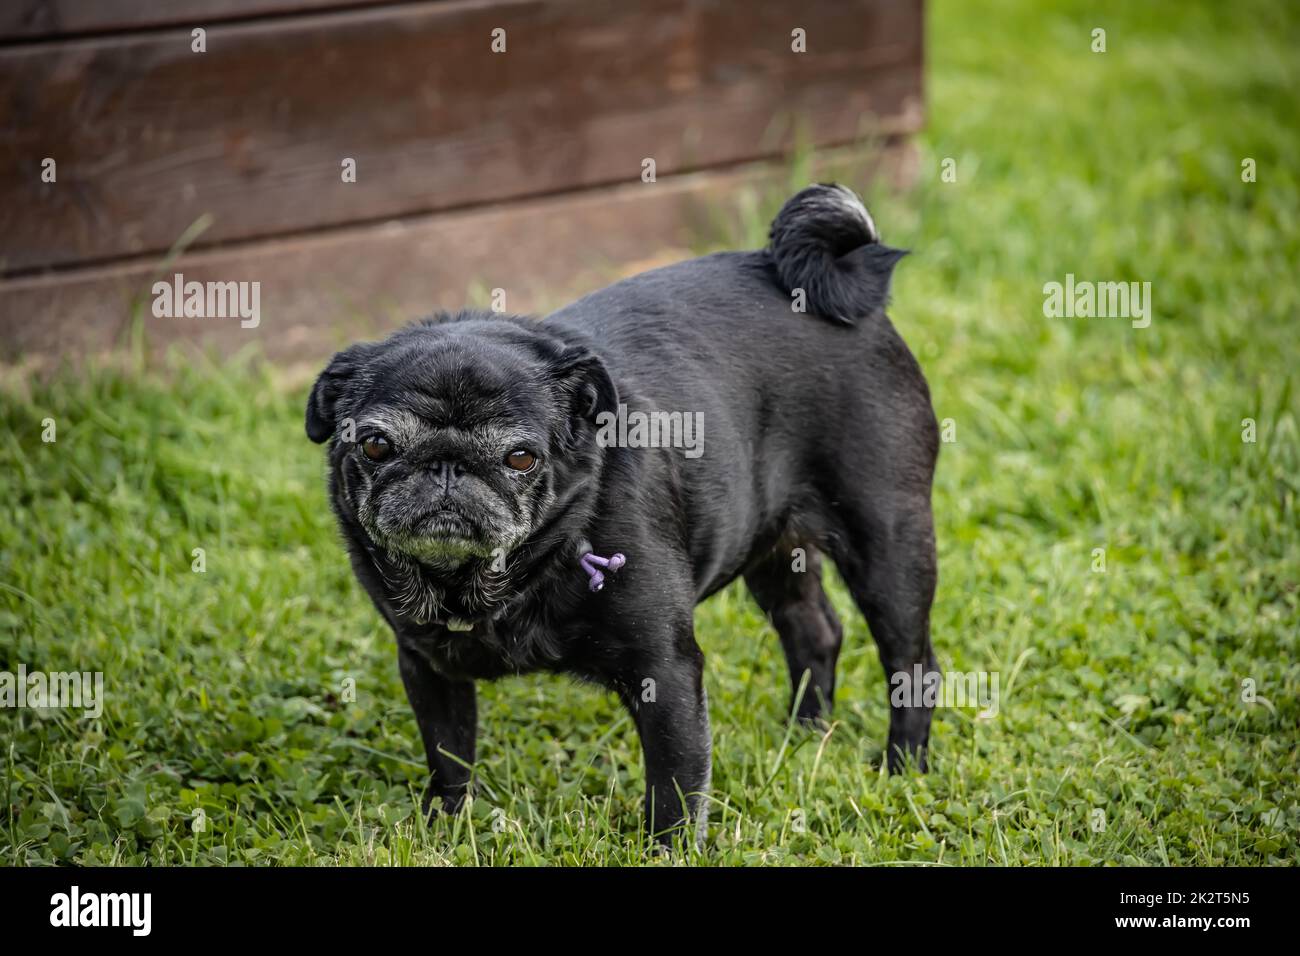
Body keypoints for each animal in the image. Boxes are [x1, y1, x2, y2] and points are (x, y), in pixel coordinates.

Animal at [306, 184, 935, 842]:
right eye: (376, 445)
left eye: (521, 456)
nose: (447, 466)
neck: (494, 578)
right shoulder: (429, 669)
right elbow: (449, 760)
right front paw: (447, 831)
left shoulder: (666, 671)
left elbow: (676, 784)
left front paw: (670, 849)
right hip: (772, 546)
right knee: (813, 630)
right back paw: (805, 734)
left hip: (888, 545)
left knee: (913, 665)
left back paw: (902, 768)